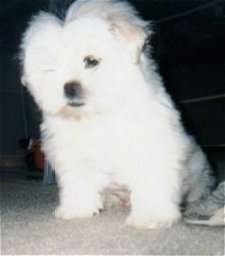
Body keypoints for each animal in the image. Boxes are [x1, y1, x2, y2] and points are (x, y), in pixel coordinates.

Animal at [20, 0, 214, 228]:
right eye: (51, 69)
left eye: (91, 61)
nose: (69, 87)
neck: (100, 114)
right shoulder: (72, 154)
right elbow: (78, 181)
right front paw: (77, 209)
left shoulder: (151, 146)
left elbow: (152, 181)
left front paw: (151, 216)